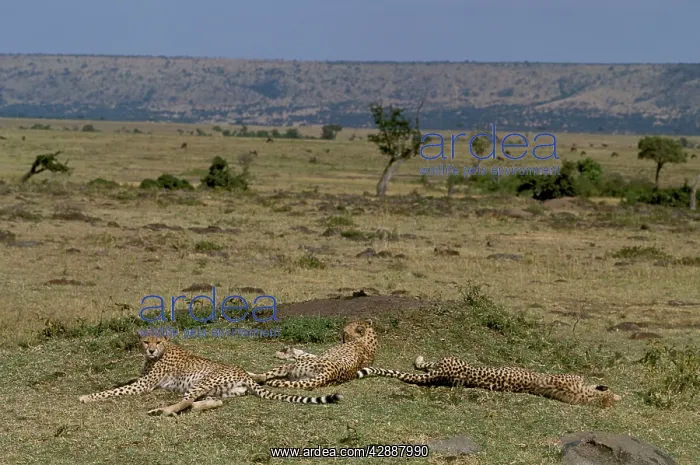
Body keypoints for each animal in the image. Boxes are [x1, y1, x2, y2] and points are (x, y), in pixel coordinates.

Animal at [78, 334, 342, 416]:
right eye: (145, 341)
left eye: (157, 341)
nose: (151, 349)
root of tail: (242, 371)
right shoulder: (141, 381)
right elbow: (123, 383)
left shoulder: (144, 385)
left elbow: (115, 391)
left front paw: (86, 397)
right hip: (220, 390)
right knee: (213, 402)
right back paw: (193, 408)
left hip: (203, 381)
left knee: (183, 401)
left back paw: (163, 410)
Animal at [247, 319, 377, 390]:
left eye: (345, 332)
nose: (342, 339)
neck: (366, 343)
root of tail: (329, 374)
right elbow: (305, 353)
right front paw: (289, 350)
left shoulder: (319, 357)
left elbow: (304, 355)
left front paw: (281, 353)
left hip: (292, 366)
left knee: (262, 377)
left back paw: (249, 374)